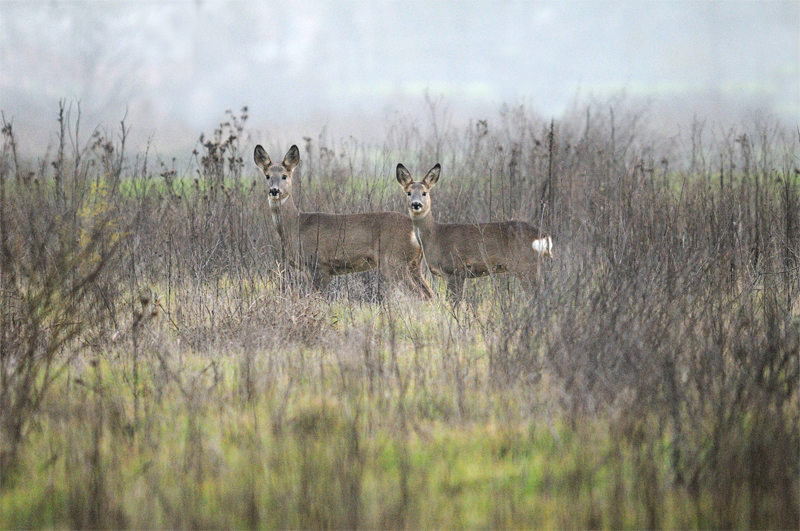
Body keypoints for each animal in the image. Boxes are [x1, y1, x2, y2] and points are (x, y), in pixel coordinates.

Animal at [255, 143, 432, 298]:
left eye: (284, 176)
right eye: (267, 176)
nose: (274, 190)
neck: (296, 225)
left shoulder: (320, 263)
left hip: (394, 260)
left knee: (419, 294)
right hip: (414, 264)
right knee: (429, 293)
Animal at [394, 162, 552, 306]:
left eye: (424, 193)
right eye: (408, 192)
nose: (416, 204)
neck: (435, 236)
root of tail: (544, 236)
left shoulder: (455, 269)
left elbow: (455, 303)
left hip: (525, 264)